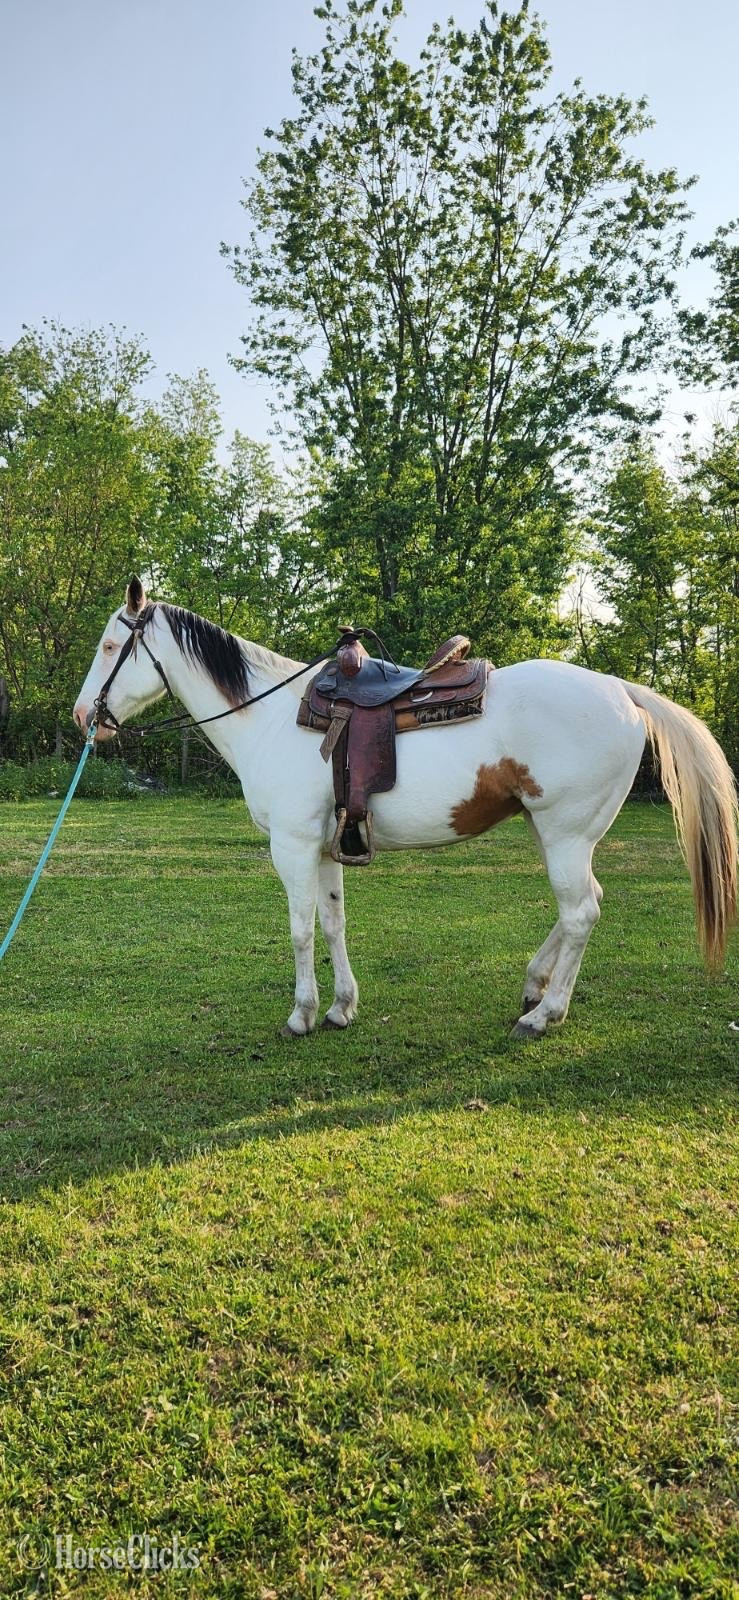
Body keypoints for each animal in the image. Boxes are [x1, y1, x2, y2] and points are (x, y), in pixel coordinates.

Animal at [74, 579, 737, 1040]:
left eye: (110, 645)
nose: (84, 717)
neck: (268, 717)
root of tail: (621, 689)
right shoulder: (326, 846)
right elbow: (333, 924)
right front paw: (341, 1007)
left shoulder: (291, 845)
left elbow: (299, 928)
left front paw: (301, 1014)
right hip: (555, 833)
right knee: (584, 907)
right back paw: (535, 987)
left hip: (566, 836)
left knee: (581, 914)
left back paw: (543, 1014)